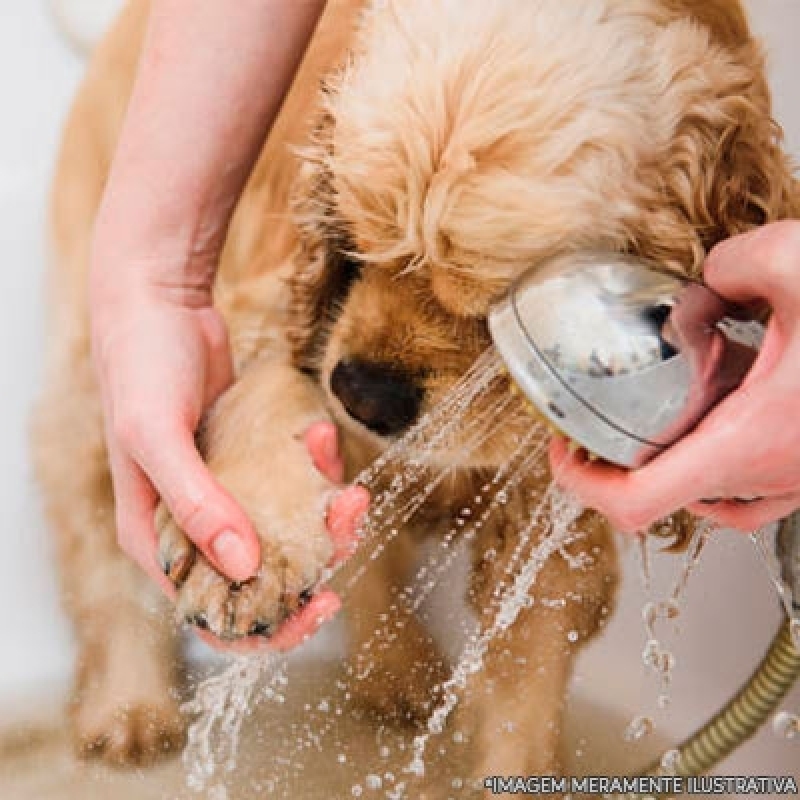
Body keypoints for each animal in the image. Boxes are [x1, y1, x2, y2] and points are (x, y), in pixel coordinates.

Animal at [31, 0, 792, 792]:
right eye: (357, 239)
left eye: (493, 304)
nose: (361, 394)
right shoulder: (271, 305)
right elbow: (265, 395)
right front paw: (246, 562)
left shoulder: (547, 508)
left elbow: (524, 675)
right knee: (101, 537)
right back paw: (129, 708)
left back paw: (396, 675)